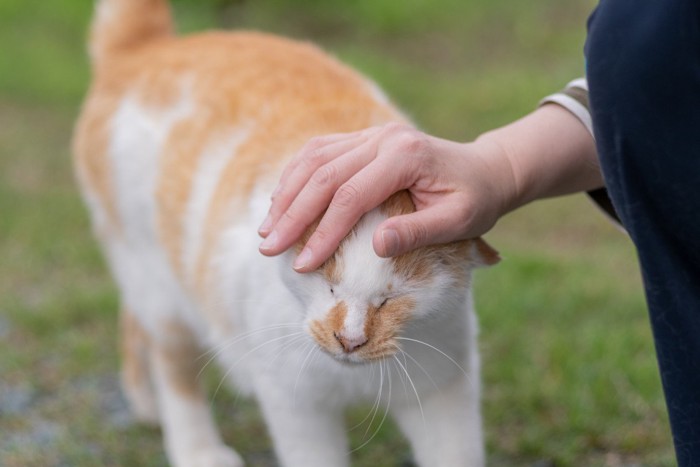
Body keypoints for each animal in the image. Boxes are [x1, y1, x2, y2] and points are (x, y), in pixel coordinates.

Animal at [72, 0, 498, 467]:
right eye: (328, 286)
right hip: (157, 282)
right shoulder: (295, 403)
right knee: (173, 362)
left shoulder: (443, 388)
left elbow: (456, 451)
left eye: (391, 299)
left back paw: (146, 405)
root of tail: (146, 48)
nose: (350, 340)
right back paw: (197, 448)